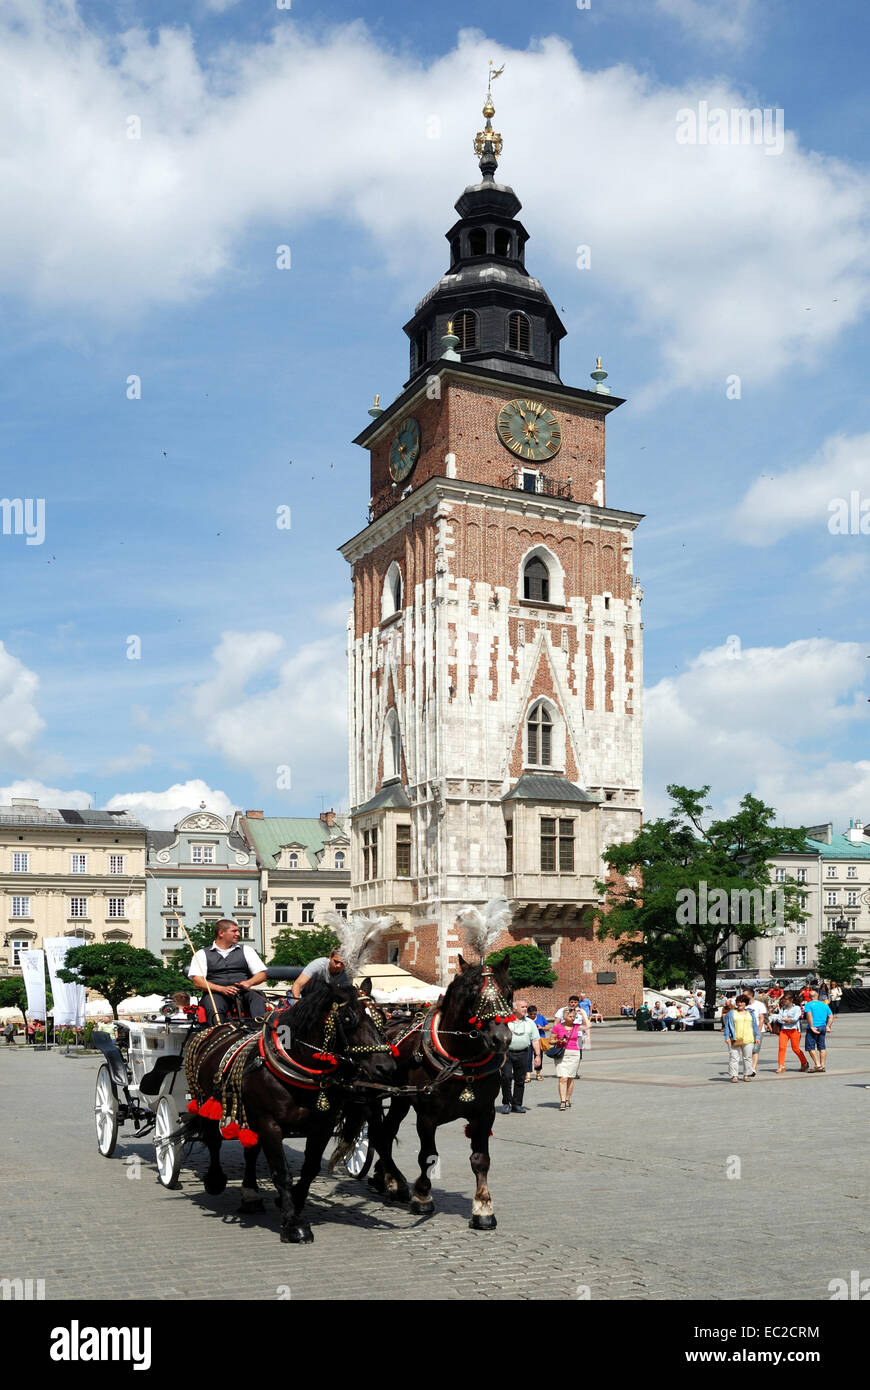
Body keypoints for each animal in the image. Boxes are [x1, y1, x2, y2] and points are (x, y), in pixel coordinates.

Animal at [189, 984, 397, 1245]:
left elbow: (310, 1169)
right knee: (213, 1139)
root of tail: (223, 1027)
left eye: (382, 1017)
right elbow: (281, 1172)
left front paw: (293, 1202)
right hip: (207, 1101)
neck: (297, 1069)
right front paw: (293, 1224)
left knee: (250, 1151)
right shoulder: (270, 1124)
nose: (386, 1067)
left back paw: (250, 1195)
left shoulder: (322, 1125)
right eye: (348, 1018)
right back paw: (215, 1180)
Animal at [364, 961, 511, 1234]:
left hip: (400, 1100)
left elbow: (481, 1160)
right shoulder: (427, 1116)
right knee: (379, 1135)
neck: (461, 1062)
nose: (502, 1039)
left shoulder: (485, 1113)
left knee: (386, 1133)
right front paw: (422, 1197)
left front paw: (483, 1208)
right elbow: (427, 1157)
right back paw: (395, 1181)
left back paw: (388, 1179)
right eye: (473, 995)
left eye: (508, 993)